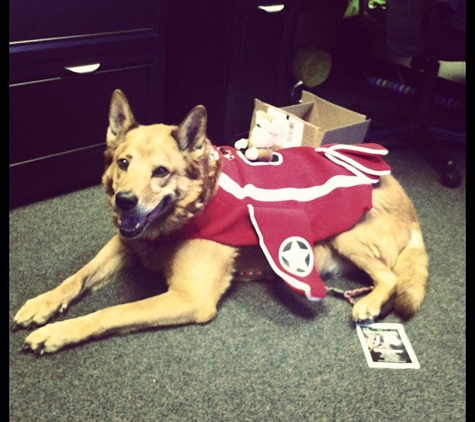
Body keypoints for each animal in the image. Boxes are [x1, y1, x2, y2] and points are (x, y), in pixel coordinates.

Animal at [13, 90, 432, 356]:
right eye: (123, 163)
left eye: (161, 172)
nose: (124, 202)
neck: (190, 210)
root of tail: (408, 203)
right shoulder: (125, 243)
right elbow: (77, 276)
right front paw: (42, 304)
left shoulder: (190, 298)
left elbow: (112, 311)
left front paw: (57, 333)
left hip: (347, 233)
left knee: (391, 278)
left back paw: (371, 304)